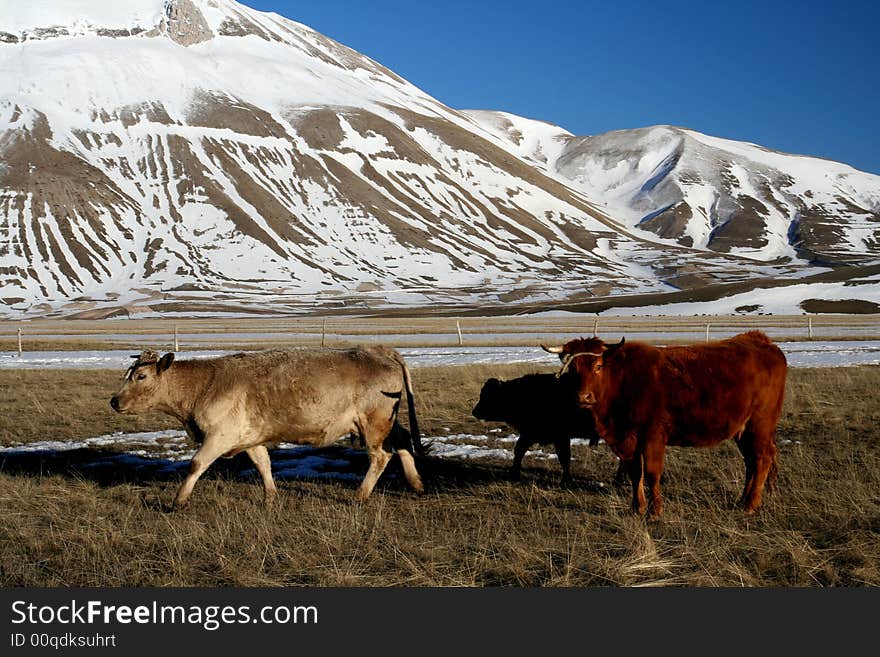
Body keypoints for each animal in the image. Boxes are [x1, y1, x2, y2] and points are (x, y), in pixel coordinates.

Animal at [110, 346, 426, 510]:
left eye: (140, 376)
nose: (114, 400)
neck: (203, 385)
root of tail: (377, 350)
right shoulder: (250, 438)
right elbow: (263, 464)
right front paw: (271, 497)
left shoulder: (219, 436)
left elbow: (196, 464)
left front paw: (178, 501)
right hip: (387, 420)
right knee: (402, 440)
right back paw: (416, 483)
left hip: (373, 422)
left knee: (381, 456)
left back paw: (361, 496)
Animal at [548, 334, 788, 516]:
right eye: (572, 369)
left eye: (598, 366)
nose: (583, 397)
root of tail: (762, 341)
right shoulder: (630, 440)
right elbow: (635, 473)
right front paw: (637, 507)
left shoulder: (653, 436)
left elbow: (652, 473)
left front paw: (655, 511)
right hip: (743, 430)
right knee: (751, 462)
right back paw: (742, 501)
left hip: (760, 425)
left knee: (763, 459)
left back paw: (751, 505)